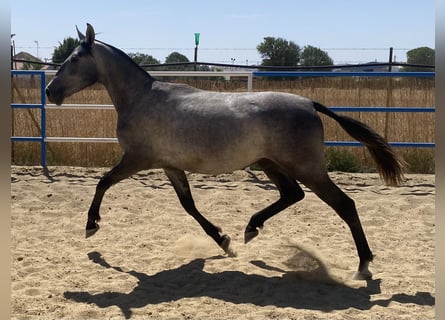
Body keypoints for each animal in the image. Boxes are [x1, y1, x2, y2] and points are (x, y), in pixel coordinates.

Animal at [45, 24, 402, 280]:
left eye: (75, 59)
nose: (50, 91)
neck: (141, 98)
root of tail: (309, 103)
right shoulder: (170, 166)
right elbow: (189, 206)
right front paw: (223, 240)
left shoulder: (137, 159)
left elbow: (103, 182)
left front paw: (91, 225)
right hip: (270, 162)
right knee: (292, 194)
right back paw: (250, 229)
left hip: (306, 167)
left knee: (344, 204)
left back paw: (364, 264)